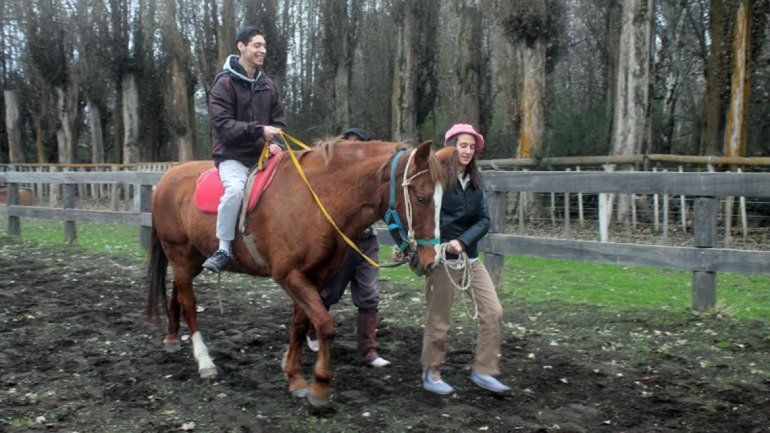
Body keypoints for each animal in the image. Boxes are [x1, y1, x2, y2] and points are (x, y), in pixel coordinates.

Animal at [146, 139, 445, 407]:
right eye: (421, 198)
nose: (431, 260)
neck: (318, 200)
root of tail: (167, 178)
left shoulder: (314, 277)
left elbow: (300, 326)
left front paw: (295, 377)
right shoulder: (290, 276)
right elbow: (324, 325)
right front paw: (320, 386)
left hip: (192, 259)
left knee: (178, 293)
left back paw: (172, 337)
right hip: (179, 254)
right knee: (190, 303)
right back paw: (204, 361)